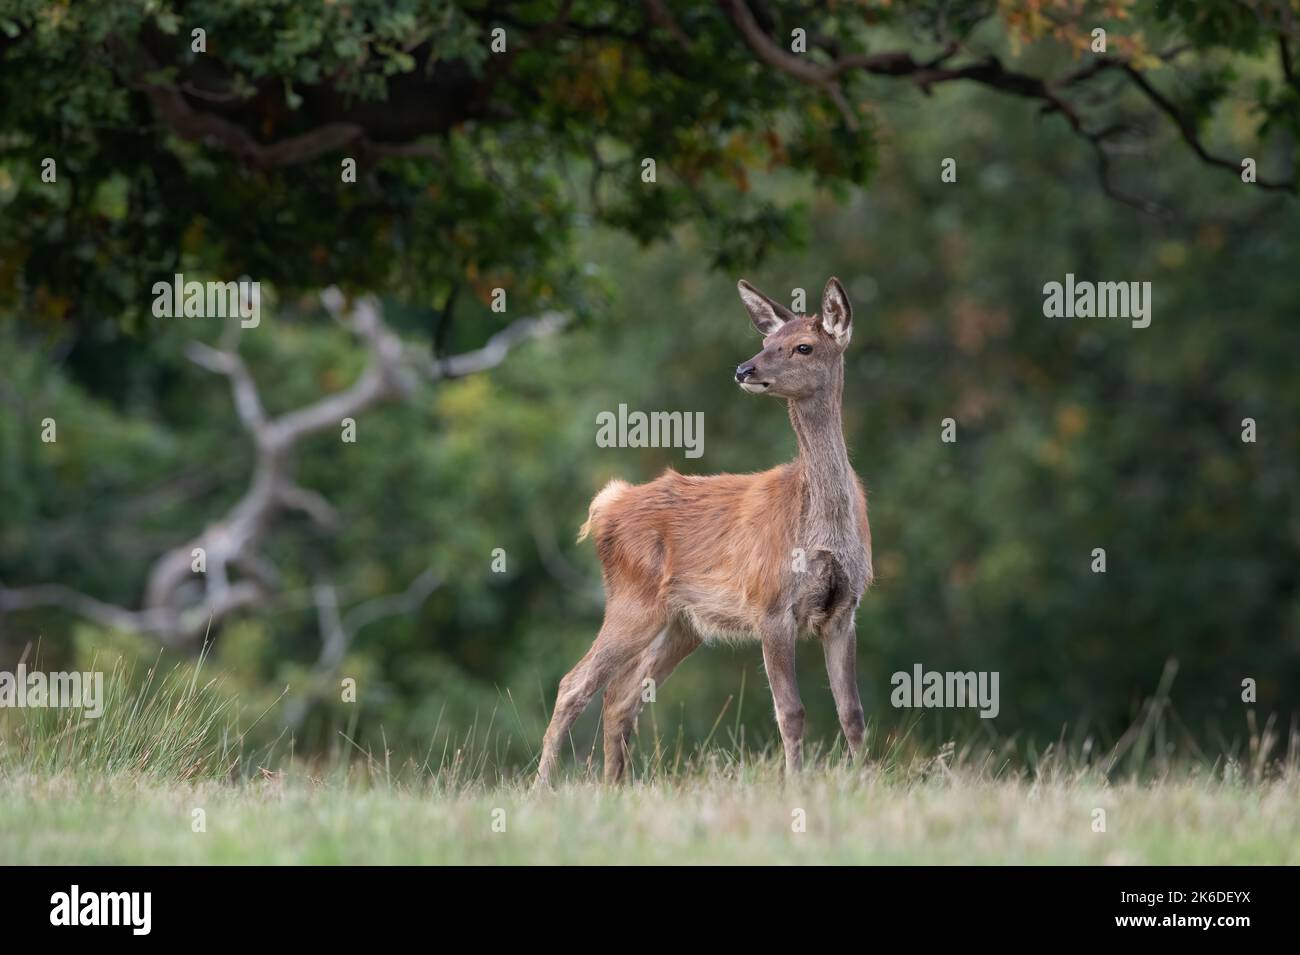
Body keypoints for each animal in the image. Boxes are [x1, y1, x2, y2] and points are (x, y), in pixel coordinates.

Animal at [535, 277, 872, 788]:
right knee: (575, 684)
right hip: (634, 602)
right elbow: (791, 711)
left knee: (619, 697)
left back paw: (614, 788)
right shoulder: (771, 604)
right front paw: (796, 785)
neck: (824, 532)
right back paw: (540, 789)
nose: (744, 369)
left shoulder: (844, 609)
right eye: (766, 342)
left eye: (803, 346)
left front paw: (866, 780)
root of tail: (606, 506)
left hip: (682, 623)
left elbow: (852, 712)